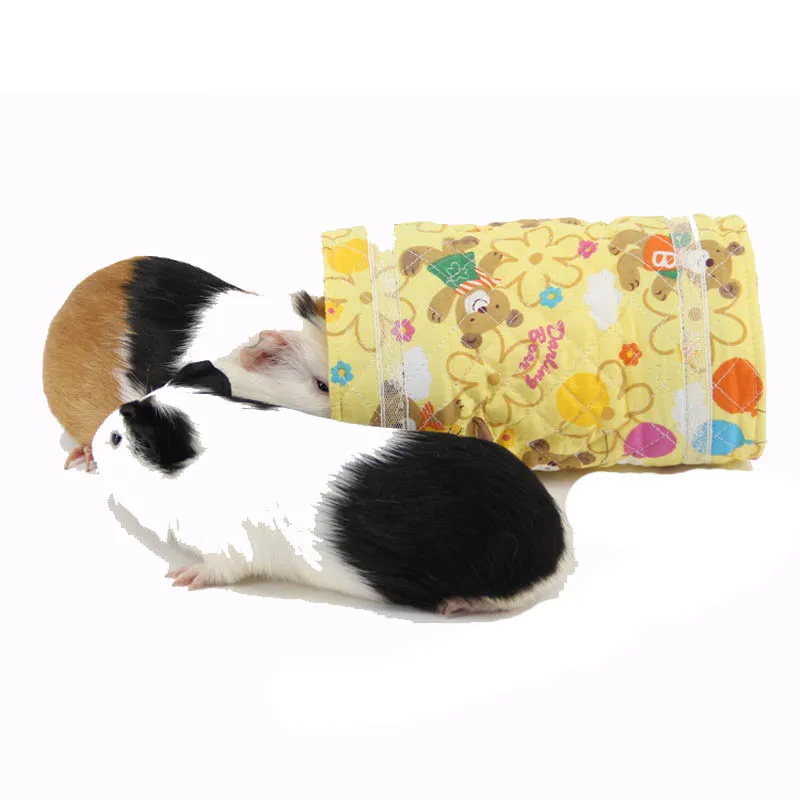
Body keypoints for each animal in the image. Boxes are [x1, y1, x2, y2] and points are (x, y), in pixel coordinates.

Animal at [91, 360, 572, 615]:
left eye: (117, 439)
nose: (94, 445)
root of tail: (558, 547)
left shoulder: (227, 550)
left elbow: (218, 569)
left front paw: (182, 577)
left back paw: (456, 605)